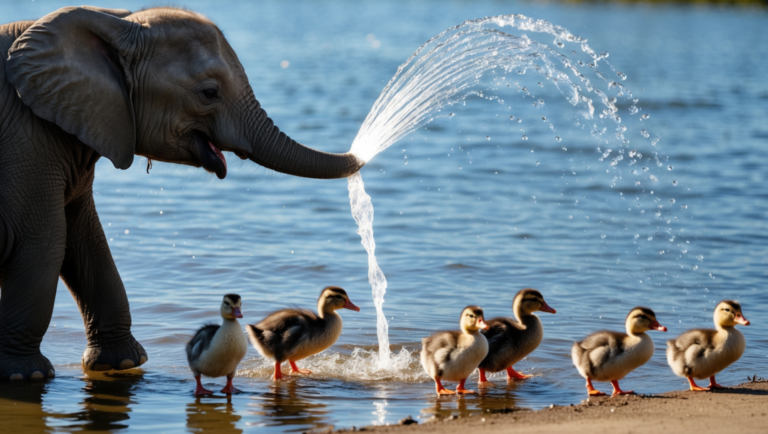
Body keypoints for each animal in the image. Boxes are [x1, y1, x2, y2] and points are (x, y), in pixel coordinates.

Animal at [0, 6, 363, 380]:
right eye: (209, 93)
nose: (363, 153)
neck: (114, 21)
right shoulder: (28, 143)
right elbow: (45, 243)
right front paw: (26, 376)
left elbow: (86, 240)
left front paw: (121, 364)